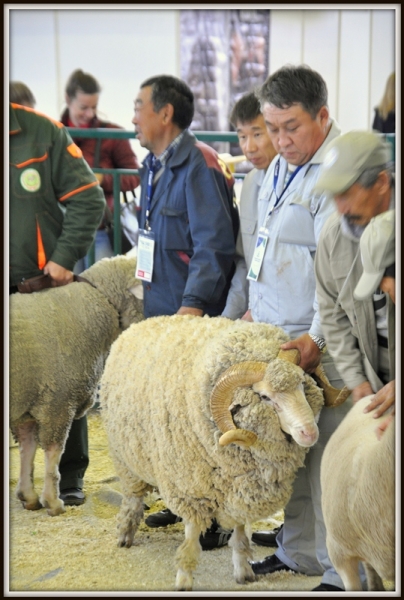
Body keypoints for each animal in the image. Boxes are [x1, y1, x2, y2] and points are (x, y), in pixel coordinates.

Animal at [8, 254, 144, 516]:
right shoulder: (58, 401)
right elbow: (53, 454)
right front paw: (52, 501)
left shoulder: (29, 402)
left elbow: (27, 450)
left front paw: (28, 496)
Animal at [99, 314, 348, 592]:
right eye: (265, 397)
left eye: (304, 386)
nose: (310, 433)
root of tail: (142, 322)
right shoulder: (190, 486)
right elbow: (191, 537)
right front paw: (184, 578)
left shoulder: (239, 486)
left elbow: (239, 533)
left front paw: (244, 572)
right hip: (125, 456)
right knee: (132, 497)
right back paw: (125, 533)